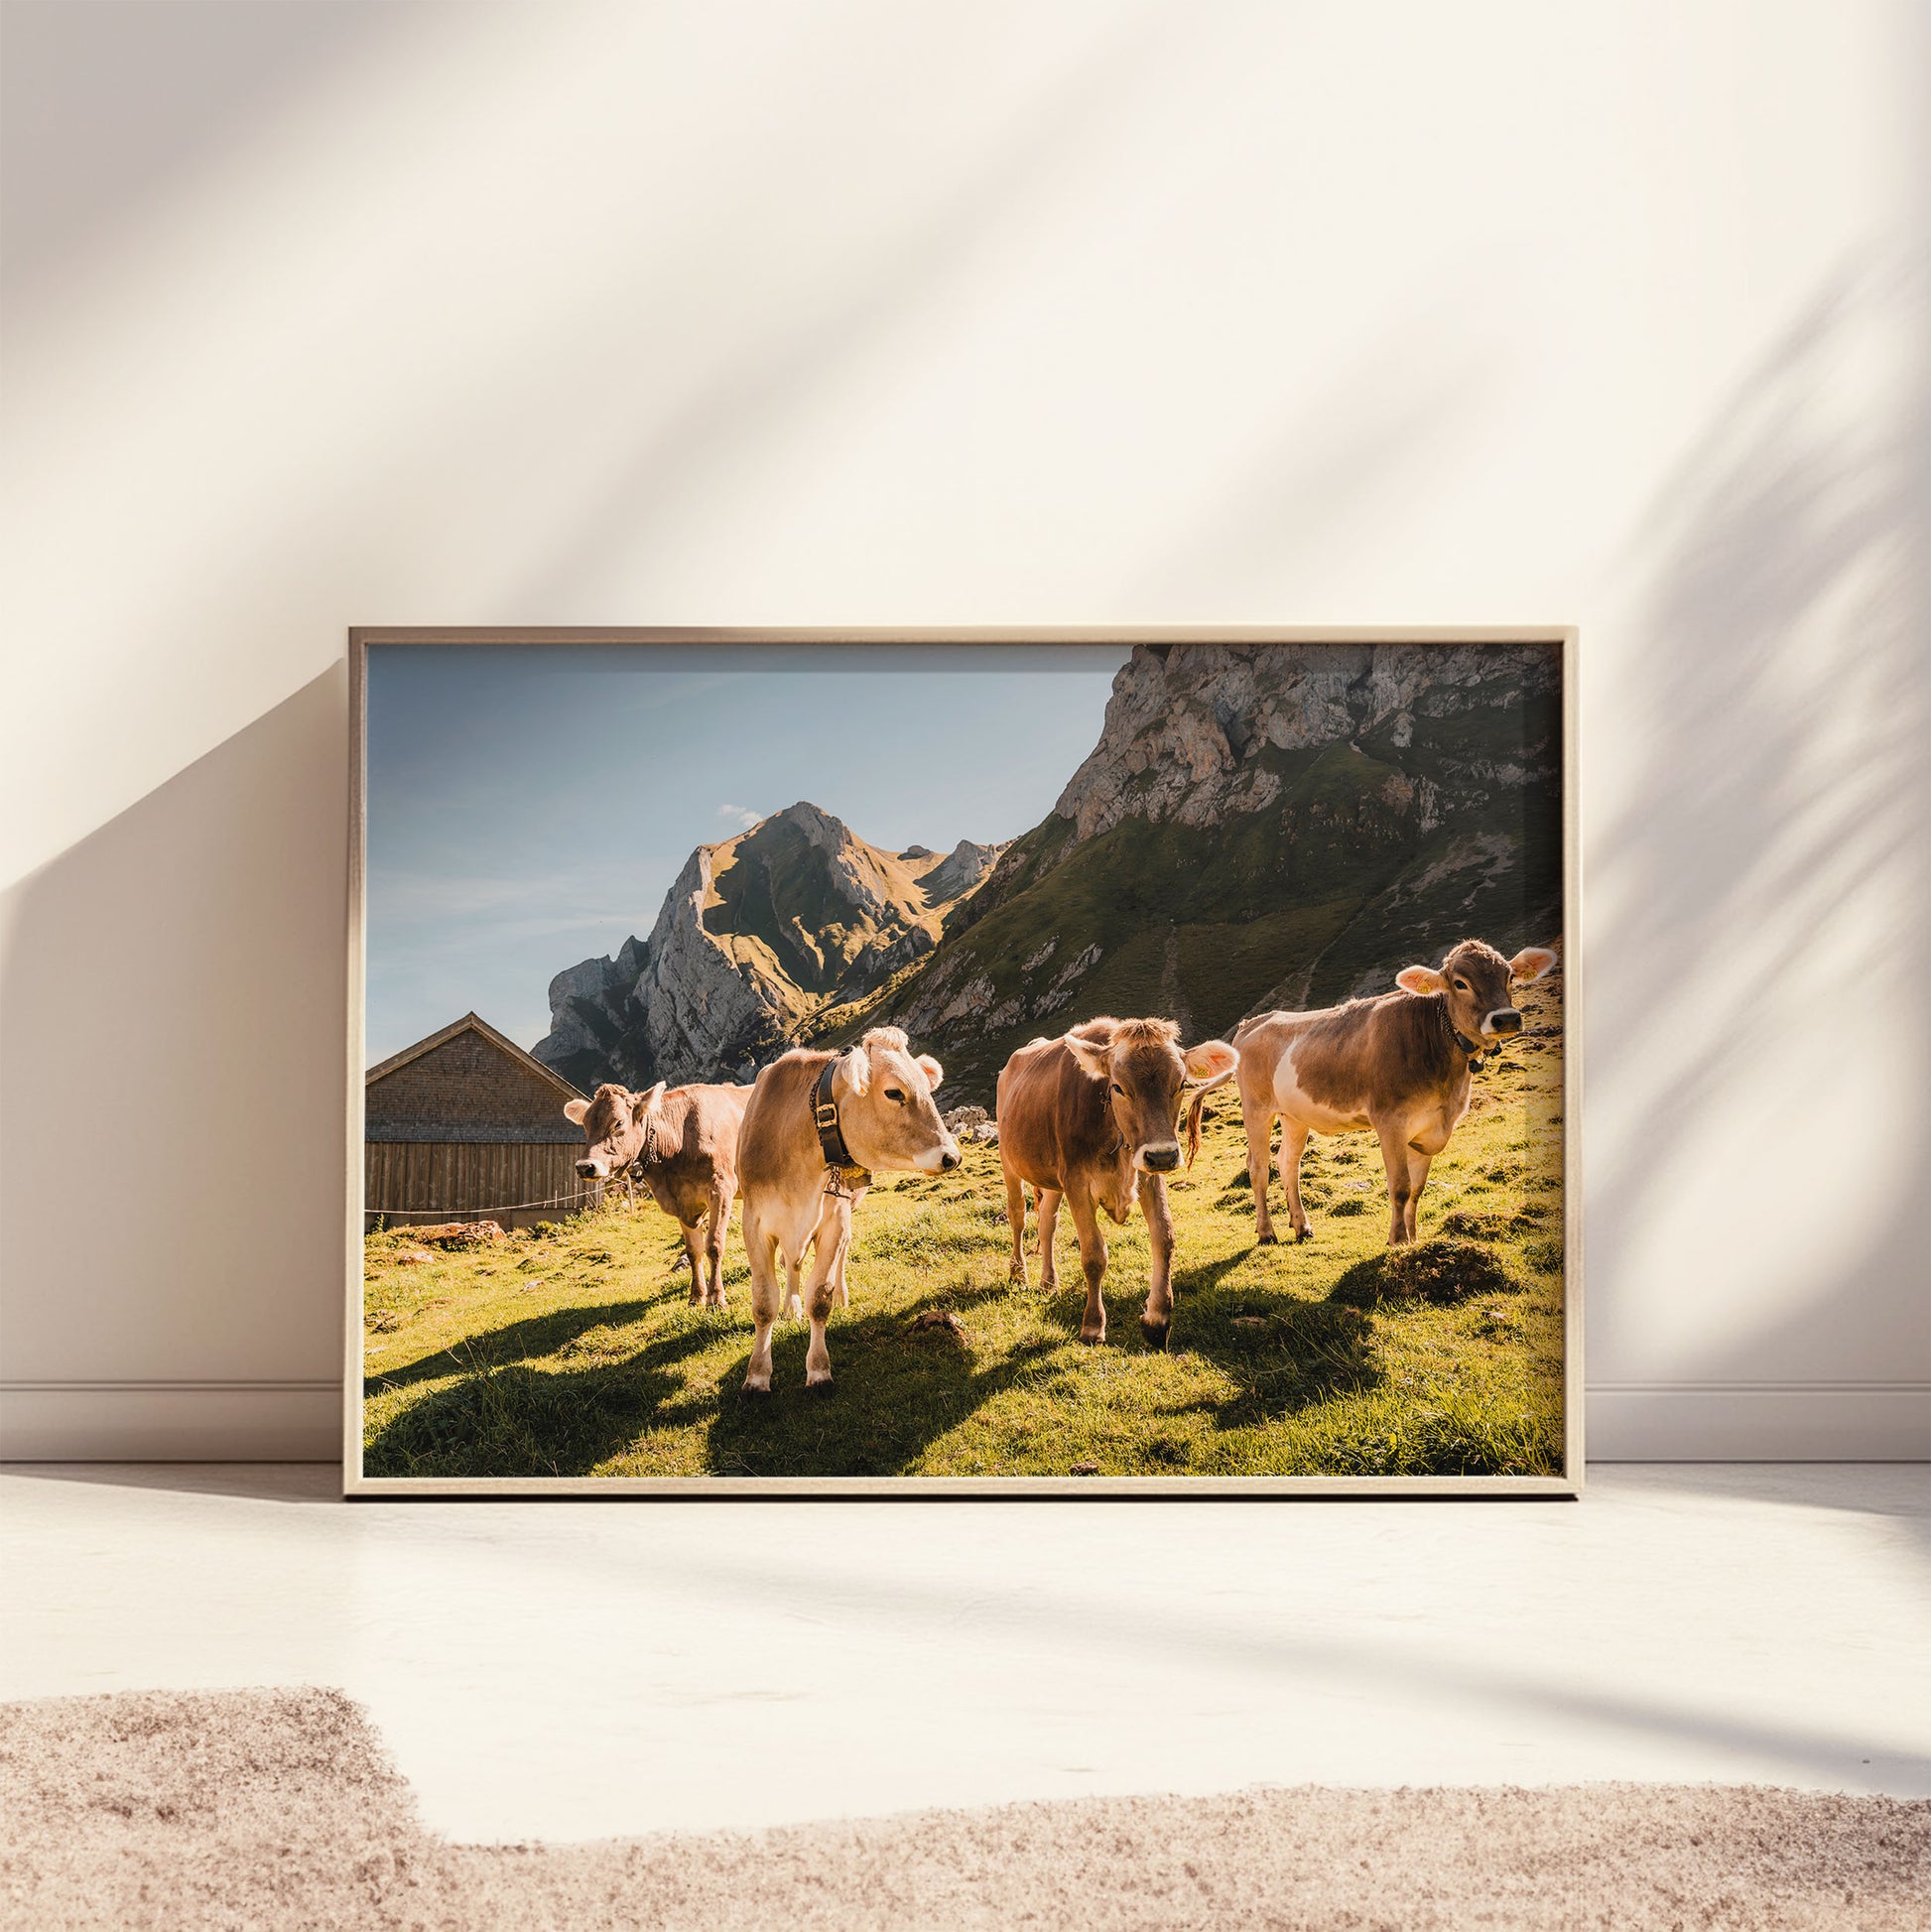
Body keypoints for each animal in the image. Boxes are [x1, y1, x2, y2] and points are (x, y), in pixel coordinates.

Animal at [564, 1082, 749, 1306]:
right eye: (585, 1125)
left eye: (618, 1123)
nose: (585, 1167)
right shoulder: (682, 1203)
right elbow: (693, 1251)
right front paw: (696, 1297)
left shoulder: (721, 1189)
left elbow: (714, 1245)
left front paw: (716, 1298)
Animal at [730, 1020, 959, 1398]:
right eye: (894, 1092)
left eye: (928, 1088)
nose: (951, 1156)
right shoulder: (755, 1223)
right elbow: (764, 1303)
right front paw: (757, 1377)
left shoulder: (834, 1221)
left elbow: (819, 1298)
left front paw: (819, 1371)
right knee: (792, 1263)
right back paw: (791, 1304)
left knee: (839, 1255)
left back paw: (840, 1294)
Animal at [997, 1020, 1236, 1352]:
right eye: (1118, 1087)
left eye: (1181, 1084)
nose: (1163, 1154)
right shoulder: (1076, 1181)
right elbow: (1094, 1254)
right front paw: (1092, 1326)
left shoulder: (1147, 1173)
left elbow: (1164, 1237)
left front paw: (1157, 1319)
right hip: (1010, 1162)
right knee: (1018, 1216)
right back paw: (1019, 1273)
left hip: (1053, 1180)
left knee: (1047, 1223)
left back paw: (1048, 1282)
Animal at [1206, 939, 1569, 1243]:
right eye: (1460, 983)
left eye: (1510, 977)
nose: (1505, 1018)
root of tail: (1252, 1023)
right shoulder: (1390, 1120)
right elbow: (1400, 1186)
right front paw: (1397, 1239)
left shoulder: (1430, 1127)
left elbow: (1418, 1189)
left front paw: (1413, 1239)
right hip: (1256, 1109)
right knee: (1259, 1167)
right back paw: (1267, 1232)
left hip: (1294, 1114)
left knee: (1288, 1163)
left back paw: (1302, 1226)